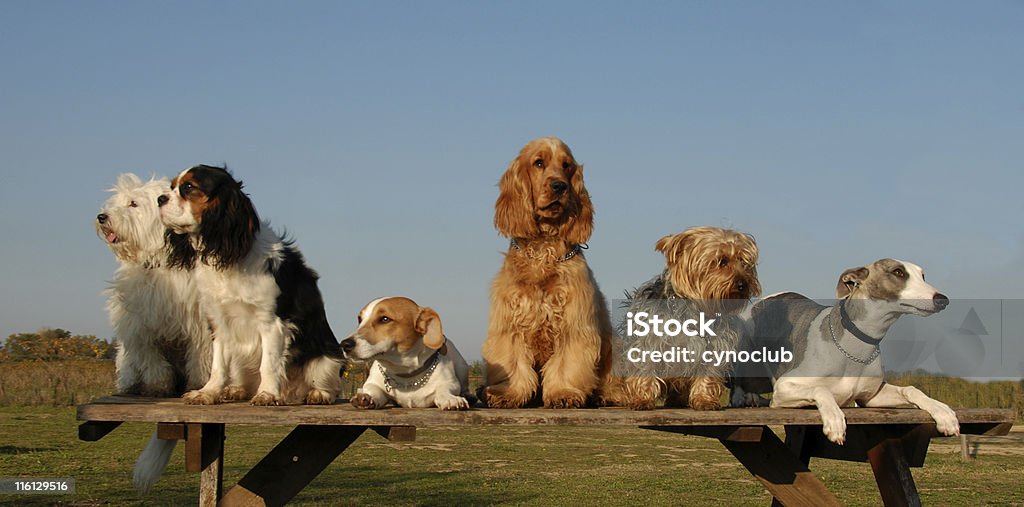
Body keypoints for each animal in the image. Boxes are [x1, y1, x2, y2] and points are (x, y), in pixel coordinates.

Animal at [96, 174, 211, 491]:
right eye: (116, 202)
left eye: (133, 204)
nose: (102, 217)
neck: (157, 263)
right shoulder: (140, 327)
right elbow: (153, 361)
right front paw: (157, 388)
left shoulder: (198, 324)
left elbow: (199, 357)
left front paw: (198, 384)